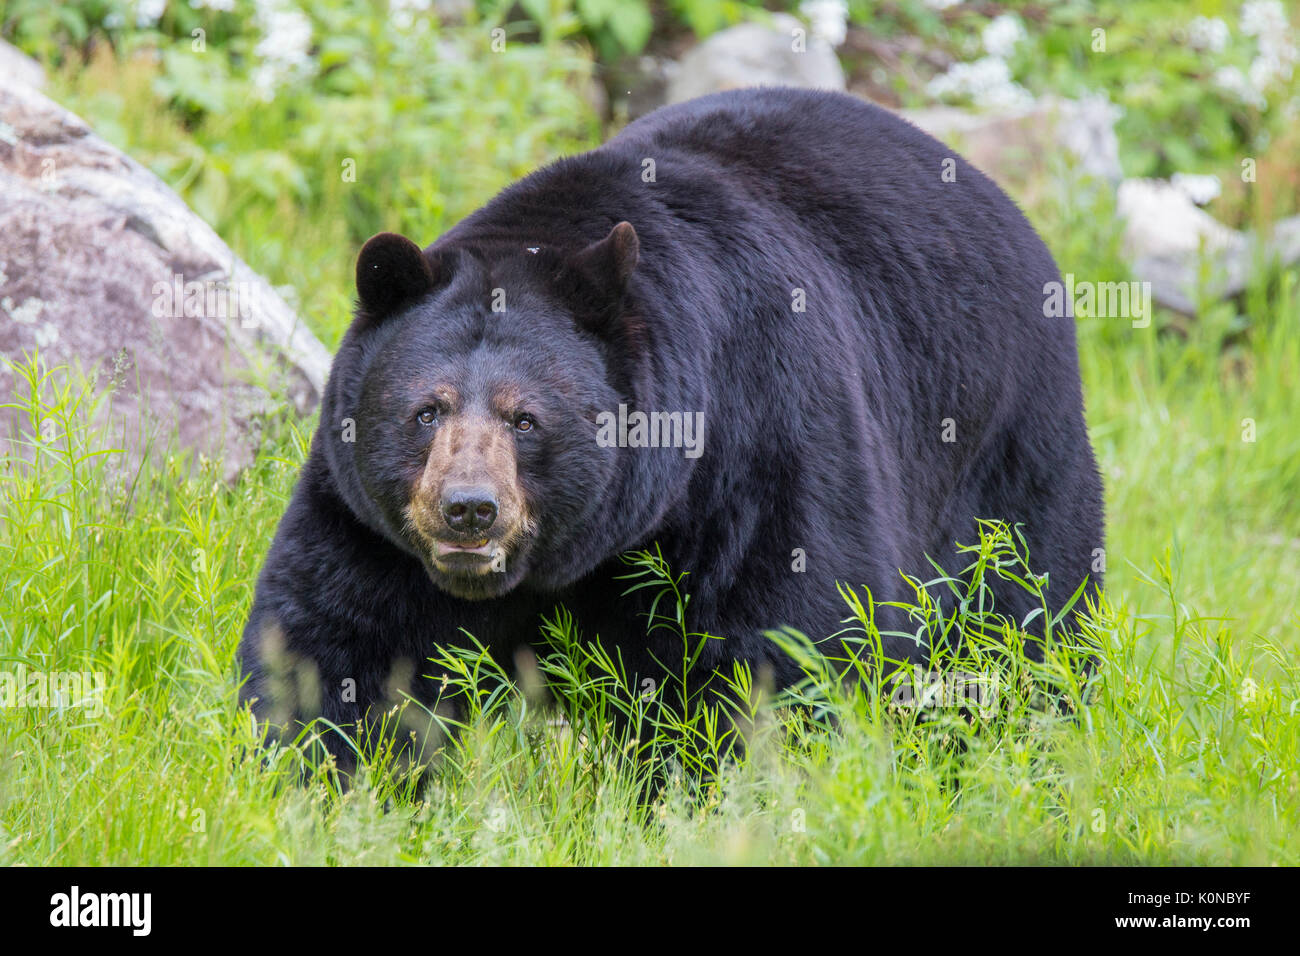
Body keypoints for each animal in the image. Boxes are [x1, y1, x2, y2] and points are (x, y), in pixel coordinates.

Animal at [239, 83, 1102, 770]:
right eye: (426, 409)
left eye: (527, 418)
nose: (469, 509)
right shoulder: (371, 522)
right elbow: (336, 640)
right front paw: (326, 778)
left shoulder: (758, 446)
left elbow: (783, 642)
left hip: (1005, 451)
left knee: (1022, 626)